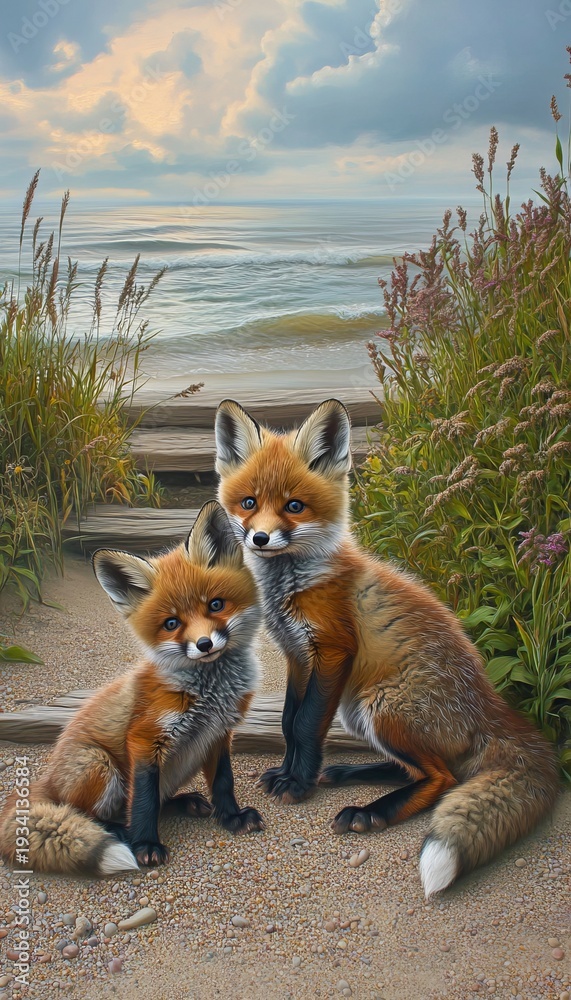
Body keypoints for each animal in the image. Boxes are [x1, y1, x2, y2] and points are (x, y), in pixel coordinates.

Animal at [0, 500, 264, 876]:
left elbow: (223, 782)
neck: (210, 692)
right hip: (99, 765)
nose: (204, 645)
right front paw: (145, 846)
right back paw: (118, 833)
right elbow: (143, 802)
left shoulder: (218, 734)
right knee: (89, 815)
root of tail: (42, 783)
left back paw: (185, 803)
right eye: (171, 623)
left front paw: (232, 818)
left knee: (159, 800)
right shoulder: (144, 739)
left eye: (216, 604)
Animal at [214, 397, 559, 896]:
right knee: (420, 769)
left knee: (443, 777)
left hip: (381, 705)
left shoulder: (333, 650)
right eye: (249, 503)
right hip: (358, 711)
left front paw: (298, 784)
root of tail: (494, 706)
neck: (294, 583)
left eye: (294, 507)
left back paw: (371, 811)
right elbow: (287, 721)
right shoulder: (298, 655)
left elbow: (304, 726)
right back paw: (346, 776)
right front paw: (288, 772)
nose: (259, 538)